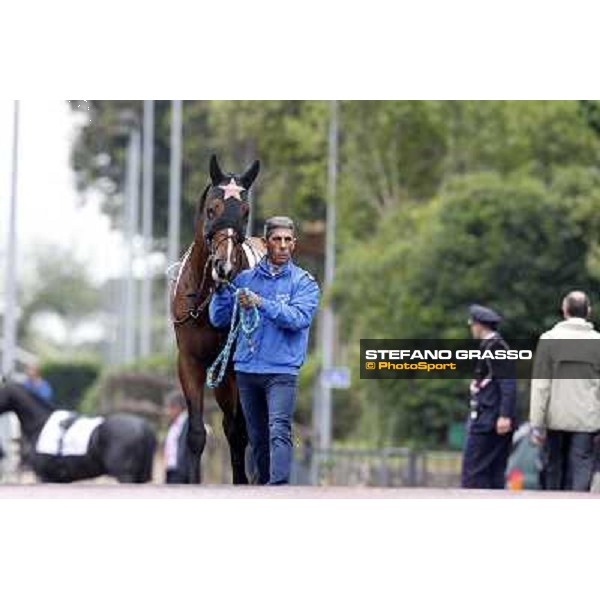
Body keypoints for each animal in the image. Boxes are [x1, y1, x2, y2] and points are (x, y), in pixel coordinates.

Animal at [169, 154, 262, 482]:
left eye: (245, 212)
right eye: (212, 208)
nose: (225, 267)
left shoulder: (236, 365)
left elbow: (241, 431)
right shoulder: (190, 360)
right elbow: (196, 432)